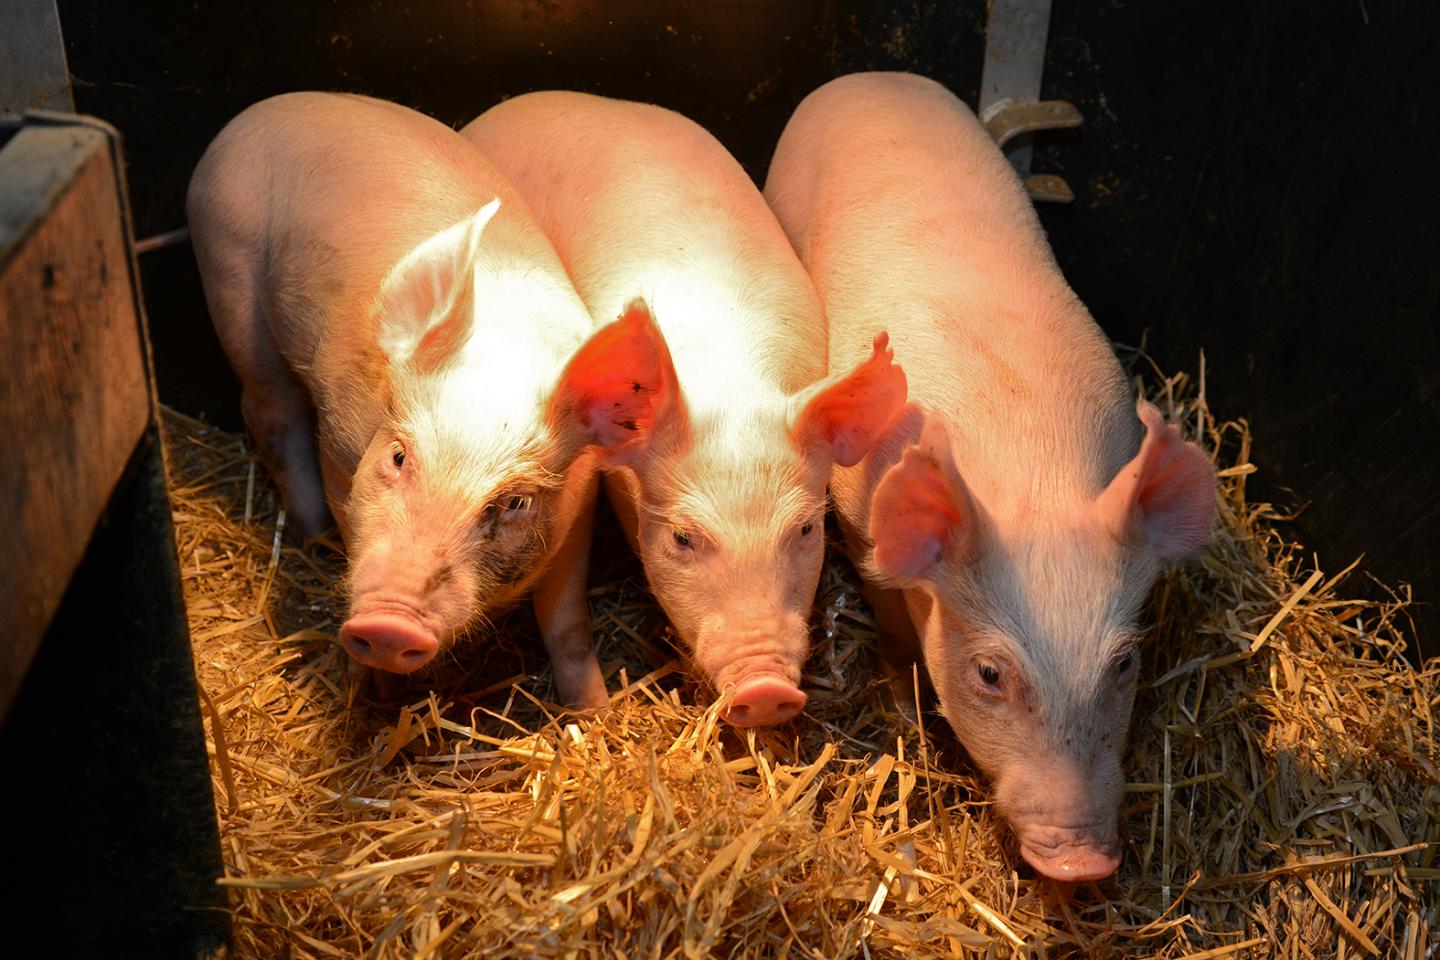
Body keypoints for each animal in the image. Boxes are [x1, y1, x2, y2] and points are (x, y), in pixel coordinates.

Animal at [187, 92, 668, 708]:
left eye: (515, 501)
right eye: (398, 456)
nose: (390, 625)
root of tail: (262, 110)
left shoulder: (576, 512)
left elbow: (566, 624)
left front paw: (594, 712)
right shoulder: (339, 449)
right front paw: (378, 694)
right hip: (228, 274)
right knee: (268, 411)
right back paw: (311, 534)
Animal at [763, 72, 1216, 880]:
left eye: (1125, 663)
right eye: (990, 675)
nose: (1081, 862)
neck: (1030, 465)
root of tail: (873, 78)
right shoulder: (861, 526)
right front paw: (905, 688)